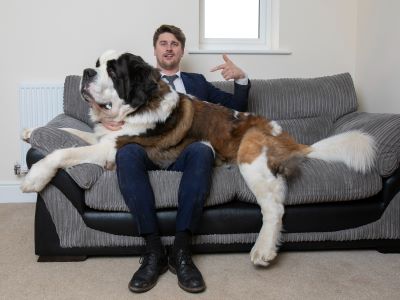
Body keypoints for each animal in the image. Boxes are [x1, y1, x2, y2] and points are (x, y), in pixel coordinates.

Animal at [20, 50, 376, 266]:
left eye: (112, 70)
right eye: (96, 63)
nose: (85, 72)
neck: (138, 105)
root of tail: (291, 139)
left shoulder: (112, 148)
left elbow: (63, 151)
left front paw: (35, 175)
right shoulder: (103, 137)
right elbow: (69, 130)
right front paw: (31, 130)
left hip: (250, 153)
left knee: (274, 207)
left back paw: (263, 249)